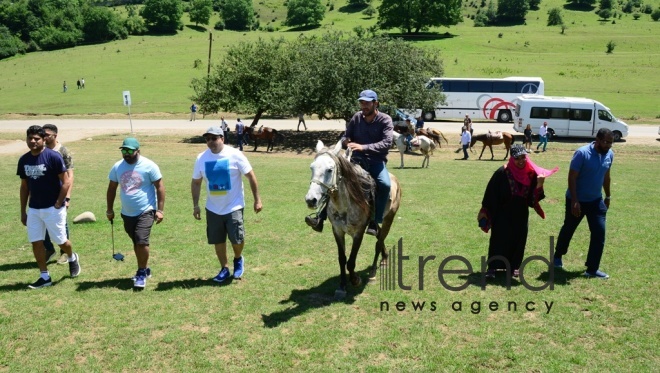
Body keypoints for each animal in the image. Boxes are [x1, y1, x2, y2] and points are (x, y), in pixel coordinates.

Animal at [304, 140, 402, 300]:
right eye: (312, 167)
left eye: (330, 170)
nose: (311, 200)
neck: (344, 205)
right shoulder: (337, 231)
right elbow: (342, 259)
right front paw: (342, 287)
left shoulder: (358, 232)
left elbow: (351, 261)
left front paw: (355, 280)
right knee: (379, 234)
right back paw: (385, 258)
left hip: (389, 218)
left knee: (379, 241)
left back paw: (373, 273)